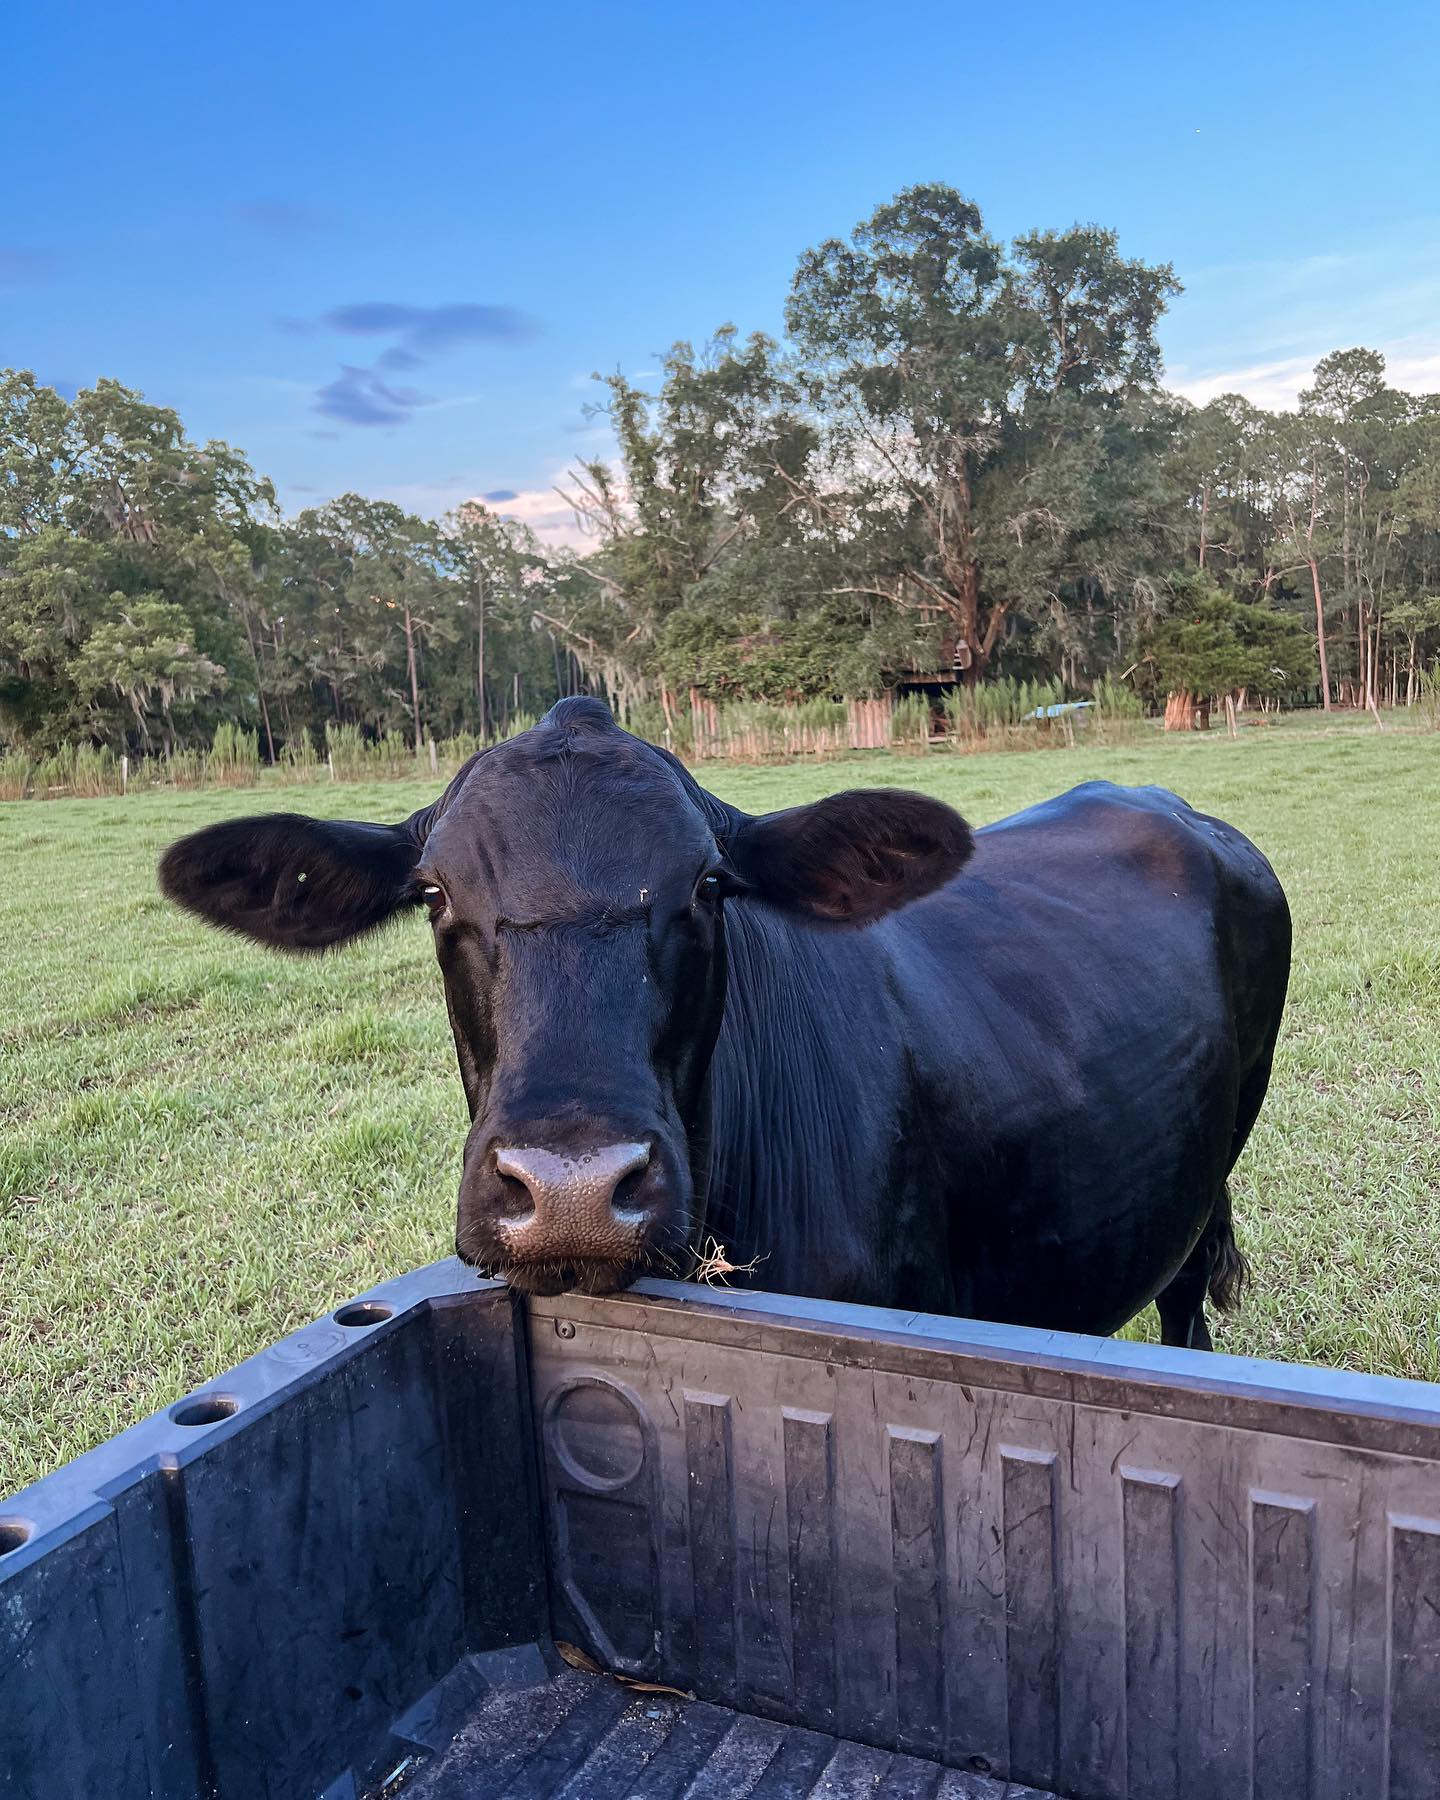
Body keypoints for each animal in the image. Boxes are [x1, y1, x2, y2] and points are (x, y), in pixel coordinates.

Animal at [159, 696, 1291, 1349]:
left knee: (1186, 1300)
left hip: (1215, 1169)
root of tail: (1166, 801)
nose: (571, 1193)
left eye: (707, 887)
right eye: (435, 894)